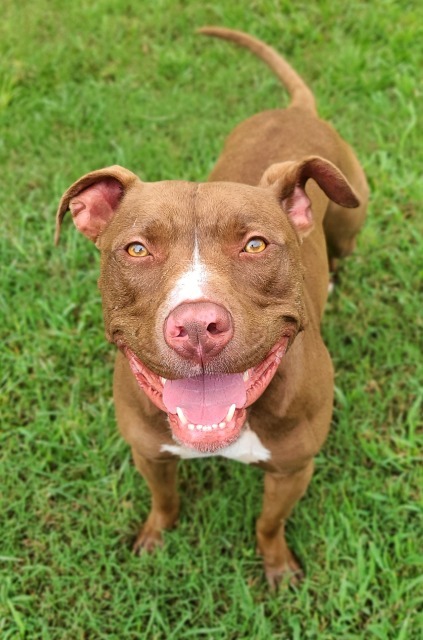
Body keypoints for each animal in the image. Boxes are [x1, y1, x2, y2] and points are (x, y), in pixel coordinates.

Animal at [55, 27, 368, 588]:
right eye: (137, 249)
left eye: (256, 245)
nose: (198, 325)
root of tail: (294, 109)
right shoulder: (148, 451)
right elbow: (164, 500)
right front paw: (155, 538)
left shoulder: (293, 469)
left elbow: (269, 523)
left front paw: (277, 567)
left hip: (351, 218)